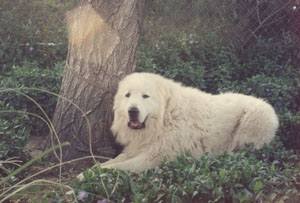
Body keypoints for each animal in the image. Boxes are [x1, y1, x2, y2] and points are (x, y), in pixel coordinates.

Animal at [77, 72, 276, 179]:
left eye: (145, 96)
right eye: (128, 95)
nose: (132, 111)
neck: (165, 116)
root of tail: (270, 107)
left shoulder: (150, 158)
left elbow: (116, 168)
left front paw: (86, 176)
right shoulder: (136, 149)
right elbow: (112, 161)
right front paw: (89, 171)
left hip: (255, 118)